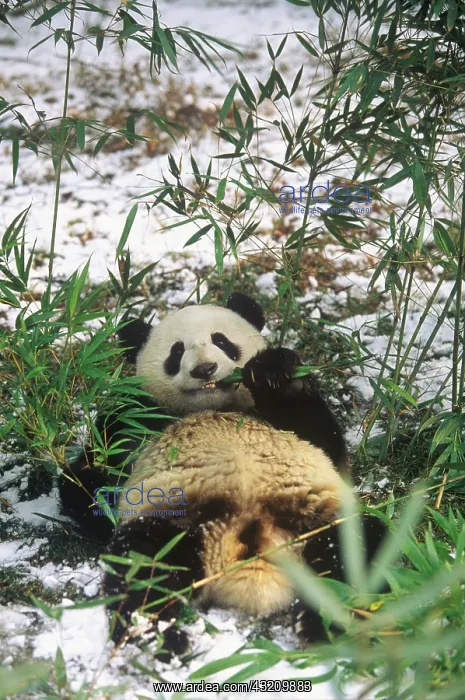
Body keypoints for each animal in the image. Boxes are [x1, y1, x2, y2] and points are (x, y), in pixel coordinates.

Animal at [59, 292, 386, 654]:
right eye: (176, 351)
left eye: (221, 341)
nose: (205, 369)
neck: (216, 407)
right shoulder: (136, 418)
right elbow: (88, 477)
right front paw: (93, 486)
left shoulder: (291, 428)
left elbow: (326, 444)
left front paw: (273, 371)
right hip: (174, 524)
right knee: (142, 567)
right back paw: (157, 636)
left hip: (318, 519)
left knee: (360, 547)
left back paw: (326, 621)